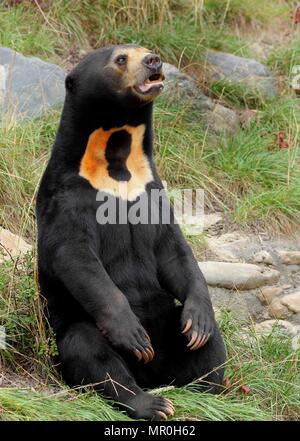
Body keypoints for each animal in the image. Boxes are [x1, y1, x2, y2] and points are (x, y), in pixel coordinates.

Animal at [36, 44, 226, 420]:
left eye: (146, 51)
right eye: (121, 58)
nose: (154, 61)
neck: (117, 160)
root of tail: (153, 375)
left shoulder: (152, 191)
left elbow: (175, 251)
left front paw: (198, 319)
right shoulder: (66, 198)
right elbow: (75, 256)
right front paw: (133, 334)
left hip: (170, 327)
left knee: (211, 342)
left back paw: (205, 391)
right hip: (72, 330)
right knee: (90, 350)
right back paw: (152, 401)